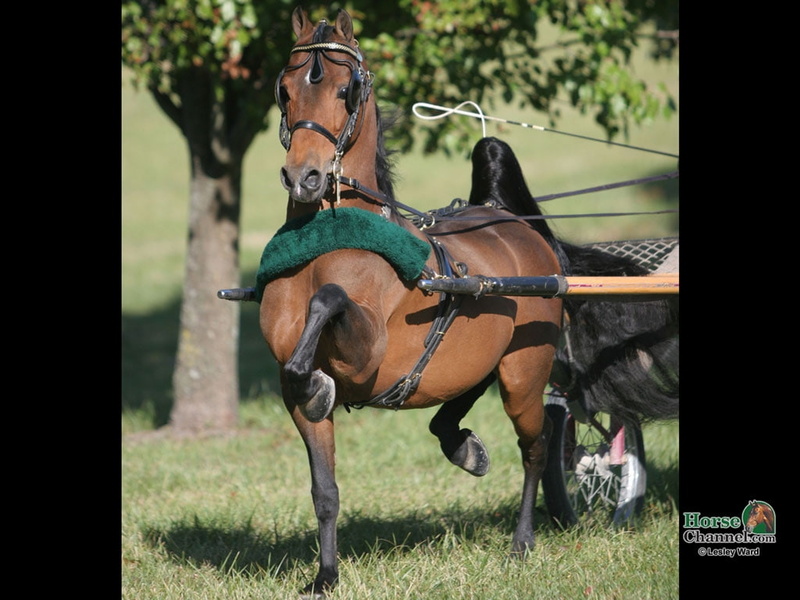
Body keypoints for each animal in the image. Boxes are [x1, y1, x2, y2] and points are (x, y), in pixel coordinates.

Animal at [258, 8, 678, 596]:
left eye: (346, 90)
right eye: (286, 89)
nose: (305, 177)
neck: (326, 243)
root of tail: (512, 220)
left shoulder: (365, 357)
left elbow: (330, 300)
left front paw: (318, 378)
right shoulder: (289, 391)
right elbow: (325, 488)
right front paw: (325, 576)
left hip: (524, 373)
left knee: (538, 446)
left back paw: (522, 541)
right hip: (479, 357)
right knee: (462, 405)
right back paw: (463, 447)